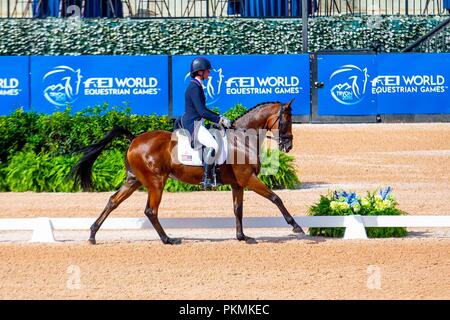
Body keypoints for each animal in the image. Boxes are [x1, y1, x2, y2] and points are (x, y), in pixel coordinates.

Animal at [73, 100, 306, 245]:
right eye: (287, 120)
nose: (288, 145)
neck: (242, 139)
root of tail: (134, 139)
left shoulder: (238, 183)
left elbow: (237, 209)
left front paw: (242, 237)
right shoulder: (248, 179)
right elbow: (276, 198)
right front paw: (296, 227)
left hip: (134, 180)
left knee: (113, 201)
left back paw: (92, 234)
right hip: (156, 182)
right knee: (150, 211)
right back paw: (168, 240)